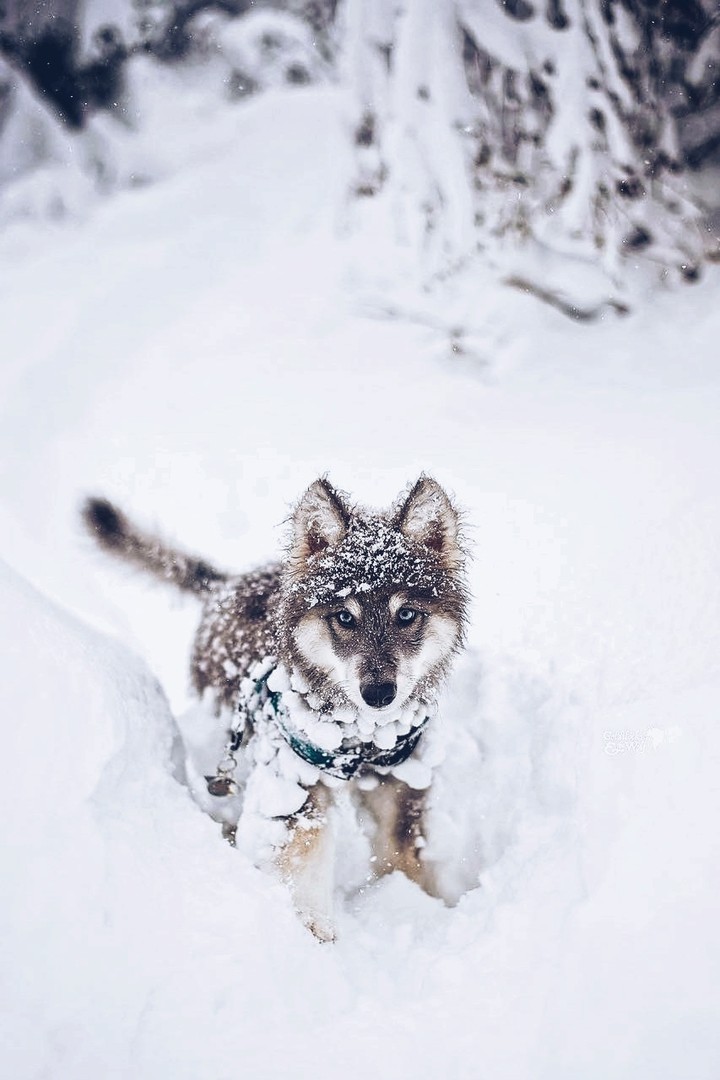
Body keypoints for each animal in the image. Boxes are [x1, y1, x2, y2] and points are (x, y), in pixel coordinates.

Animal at [83, 476, 468, 940]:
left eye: (407, 614)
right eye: (344, 617)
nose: (379, 693)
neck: (358, 737)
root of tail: (226, 584)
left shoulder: (400, 780)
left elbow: (402, 856)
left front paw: (411, 907)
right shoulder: (292, 782)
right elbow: (303, 857)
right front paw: (313, 933)